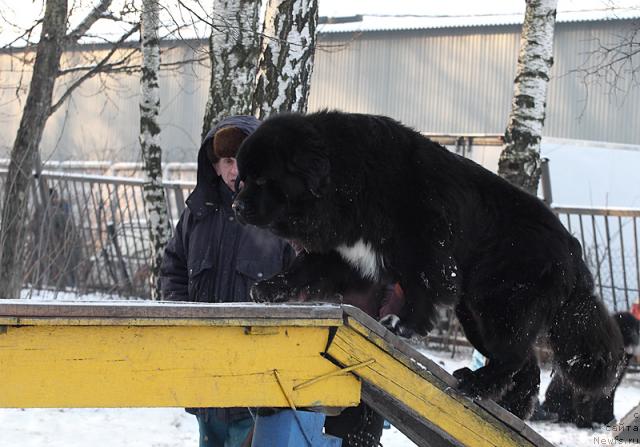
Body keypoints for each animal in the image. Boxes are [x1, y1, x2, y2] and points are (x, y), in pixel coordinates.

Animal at [231, 110, 624, 418]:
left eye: (263, 179)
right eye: (241, 179)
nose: (235, 206)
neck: (350, 180)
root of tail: (572, 249)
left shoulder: (424, 246)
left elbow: (422, 287)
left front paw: (401, 324)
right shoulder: (347, 252)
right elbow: (305, 269)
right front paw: (270, 288)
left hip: (503, 304)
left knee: (513, 356)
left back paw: (477, 384)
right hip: (477, 316)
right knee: (525, 363)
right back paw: (506, 405)